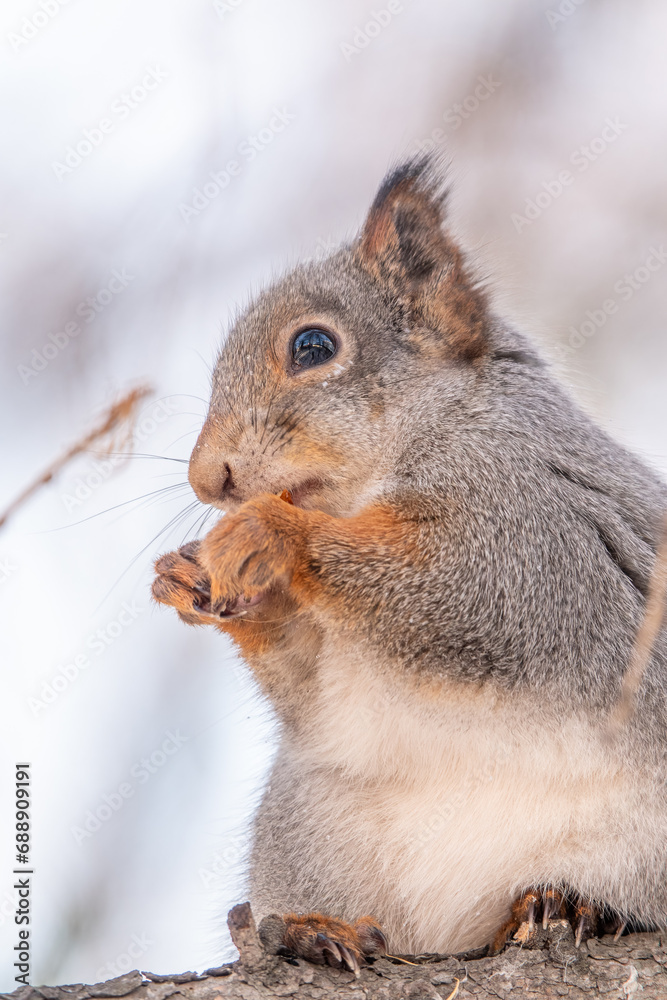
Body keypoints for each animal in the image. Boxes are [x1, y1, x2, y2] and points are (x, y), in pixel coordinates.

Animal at [152, 155, 667, 971]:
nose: (211, 481)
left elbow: (458, 594)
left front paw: (272, 532)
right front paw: (187, 581)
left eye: (312, 347)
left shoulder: (530, 529)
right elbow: (314, 694)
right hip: (314, 832)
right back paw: (312, 929)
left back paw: (568, 904)